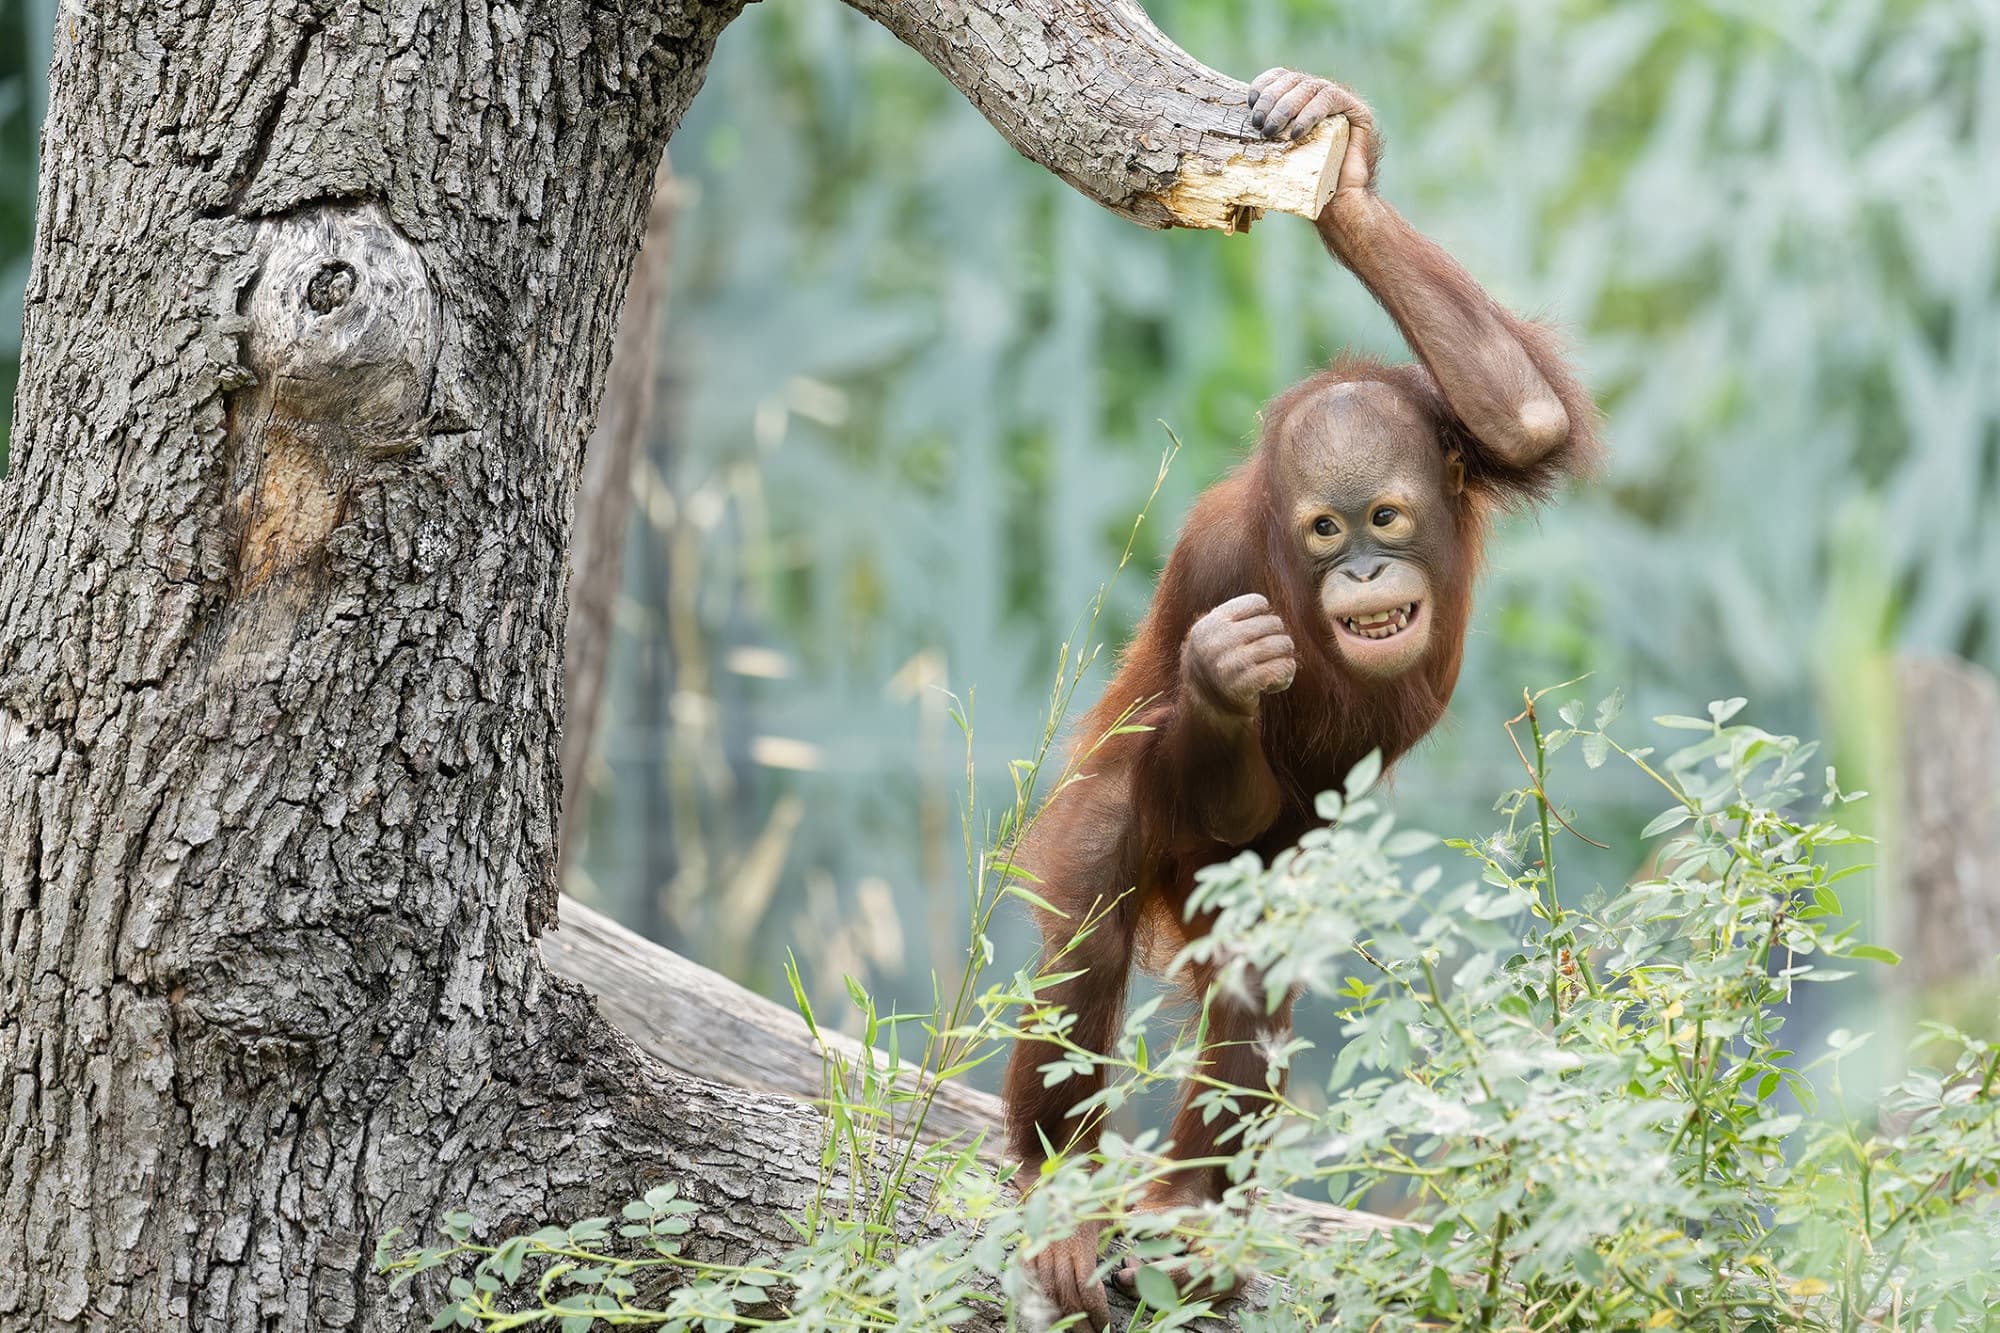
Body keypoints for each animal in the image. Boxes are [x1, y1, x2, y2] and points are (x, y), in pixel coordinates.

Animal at [1001, 69, 1602, 1326]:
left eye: (1382, 515)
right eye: (1321, 530)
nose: (1362, 574)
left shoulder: (1466, 442)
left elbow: (1524, 416)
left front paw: (1344, 167)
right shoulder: (1218, 565)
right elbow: (1208, 754)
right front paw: (1222, 674)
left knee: (1256, 952)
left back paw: (1190, 1216)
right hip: (1118, 812)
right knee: (1096, 887)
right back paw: (1059, 1197)